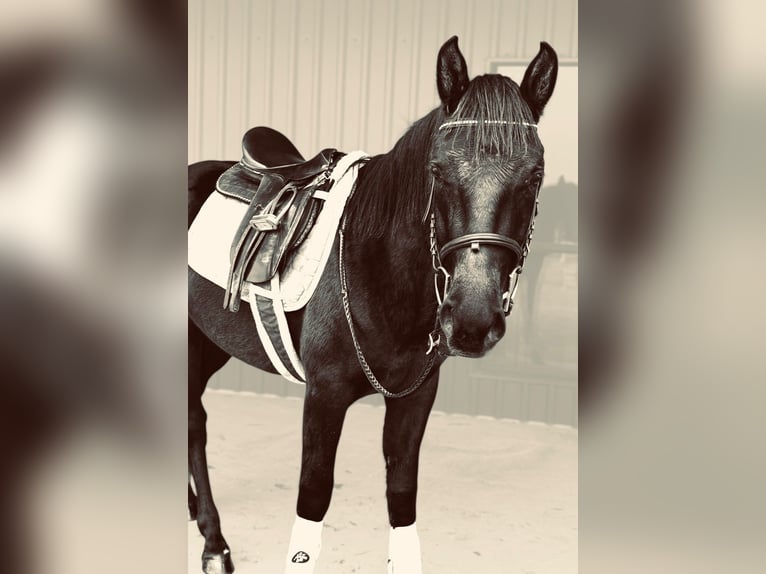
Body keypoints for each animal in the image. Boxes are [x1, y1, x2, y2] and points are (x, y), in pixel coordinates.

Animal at [188, 36, 557, 574]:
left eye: (534, 176)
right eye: (437, 171)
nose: (471, 320)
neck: (379, 269)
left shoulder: (415, 397)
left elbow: (402, 499)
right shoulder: (324, 395)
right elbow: (313, 500)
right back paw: (214, 543)